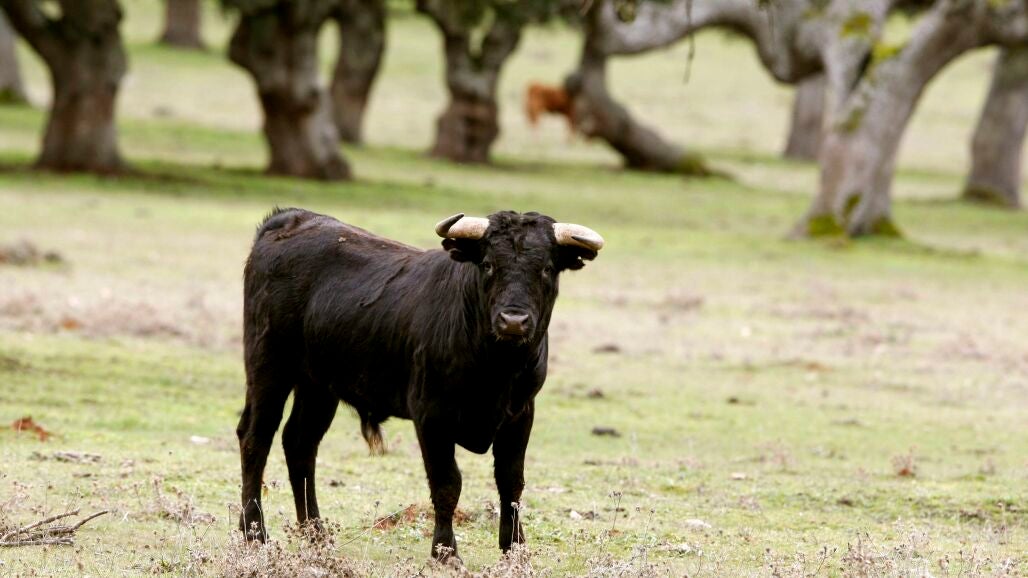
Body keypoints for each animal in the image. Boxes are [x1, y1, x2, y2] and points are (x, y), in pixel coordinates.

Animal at [237, 208, 604, 560]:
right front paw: (445, 552)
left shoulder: (520, 415)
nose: (513, 321)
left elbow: (511, 482)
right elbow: (447, 483)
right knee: (256, 438)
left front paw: (515, 549)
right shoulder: (432, 415)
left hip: (318, 386)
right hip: (268, 368)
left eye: (546, 269)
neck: (496, 366)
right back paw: (255, 533)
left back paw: (316, 534)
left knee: (300, 444)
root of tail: (290, 218)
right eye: (488, 264)